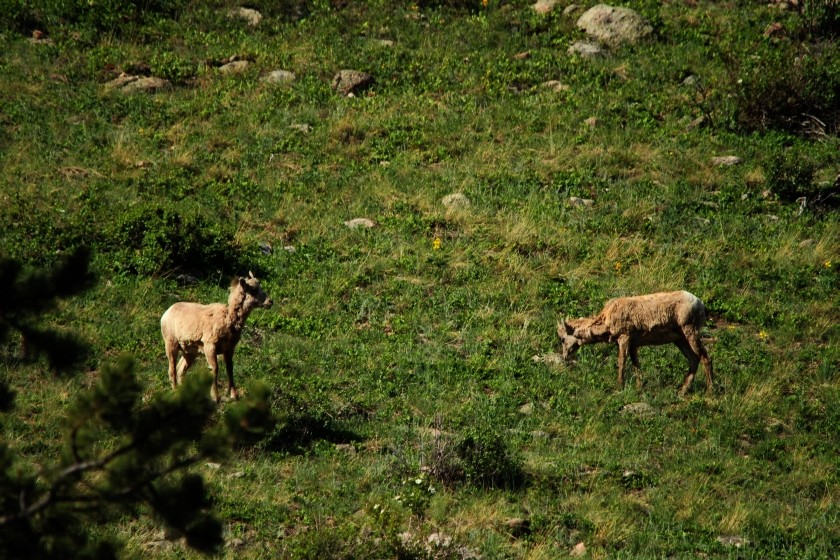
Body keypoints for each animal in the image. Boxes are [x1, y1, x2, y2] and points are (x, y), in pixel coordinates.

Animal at [161, 272, 272, 400]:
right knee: (172, 370)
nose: (270, 302)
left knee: (180, 370)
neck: (228, 320)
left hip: (190, 352)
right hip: (171, 344)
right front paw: (215, 397)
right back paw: (174, 392)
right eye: (253, 289)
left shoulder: (228, 350)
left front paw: (234, 395)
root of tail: (166, 313)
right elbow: (215, 369)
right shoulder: (210, 347)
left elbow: (230, 369)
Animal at [556, 290, 716, 396]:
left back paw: (709, 391)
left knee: (705, 357)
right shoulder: (633, 345)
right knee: (693, 359)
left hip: (690, 332)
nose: (564, 356)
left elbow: (622, 362)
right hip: (680, 339)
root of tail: (700, 304)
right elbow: (636, 365)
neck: (606, 321)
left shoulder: (624, 338)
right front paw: (639, 387)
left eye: (563, 339)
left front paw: (619, 386)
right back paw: (682, 391)